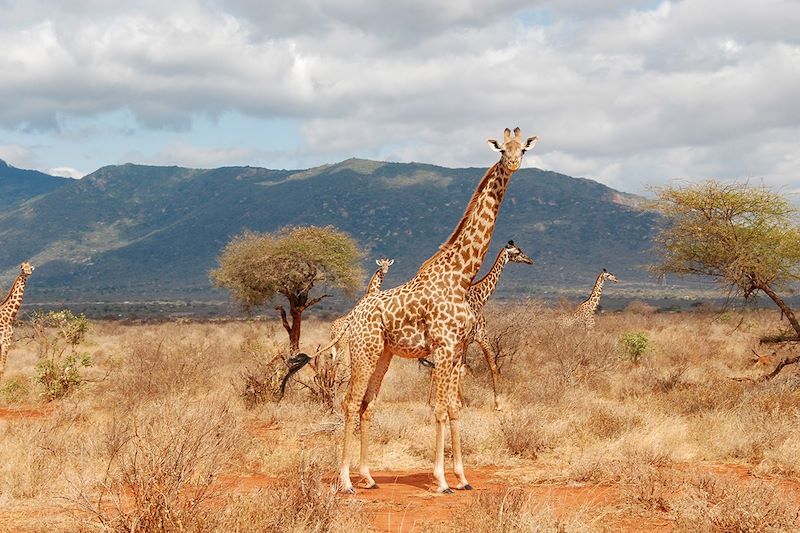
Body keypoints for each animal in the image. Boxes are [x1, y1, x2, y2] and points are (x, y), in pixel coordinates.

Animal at [422, 241, 536, 412]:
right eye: (517, 252)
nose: (529, 260)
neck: (481, 296)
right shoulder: (481, 336)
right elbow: (491, 366)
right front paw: (497, 403)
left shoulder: (466, 341)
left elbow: (462, 368)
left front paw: (459, 402)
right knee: (437, 368)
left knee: (435, 368)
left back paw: (432, 402)